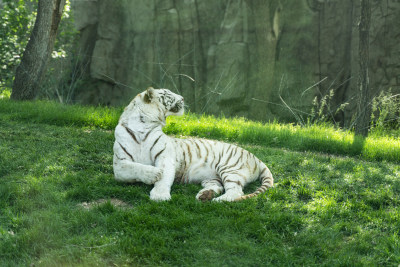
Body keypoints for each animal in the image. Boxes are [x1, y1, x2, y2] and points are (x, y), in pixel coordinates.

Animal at [114, 87, 274, 202]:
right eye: (168, 93)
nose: (183, 98)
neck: (142, 125)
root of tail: (256, 157)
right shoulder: (119, 164)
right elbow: (134, 167)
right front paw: (153, 174)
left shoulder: (165, 156)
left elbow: (164, 177)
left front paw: (159, 195)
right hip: (213, 177)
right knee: (219, 187)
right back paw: (206, 195)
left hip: (230, 168)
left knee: (236, 191)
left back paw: (220, 200)